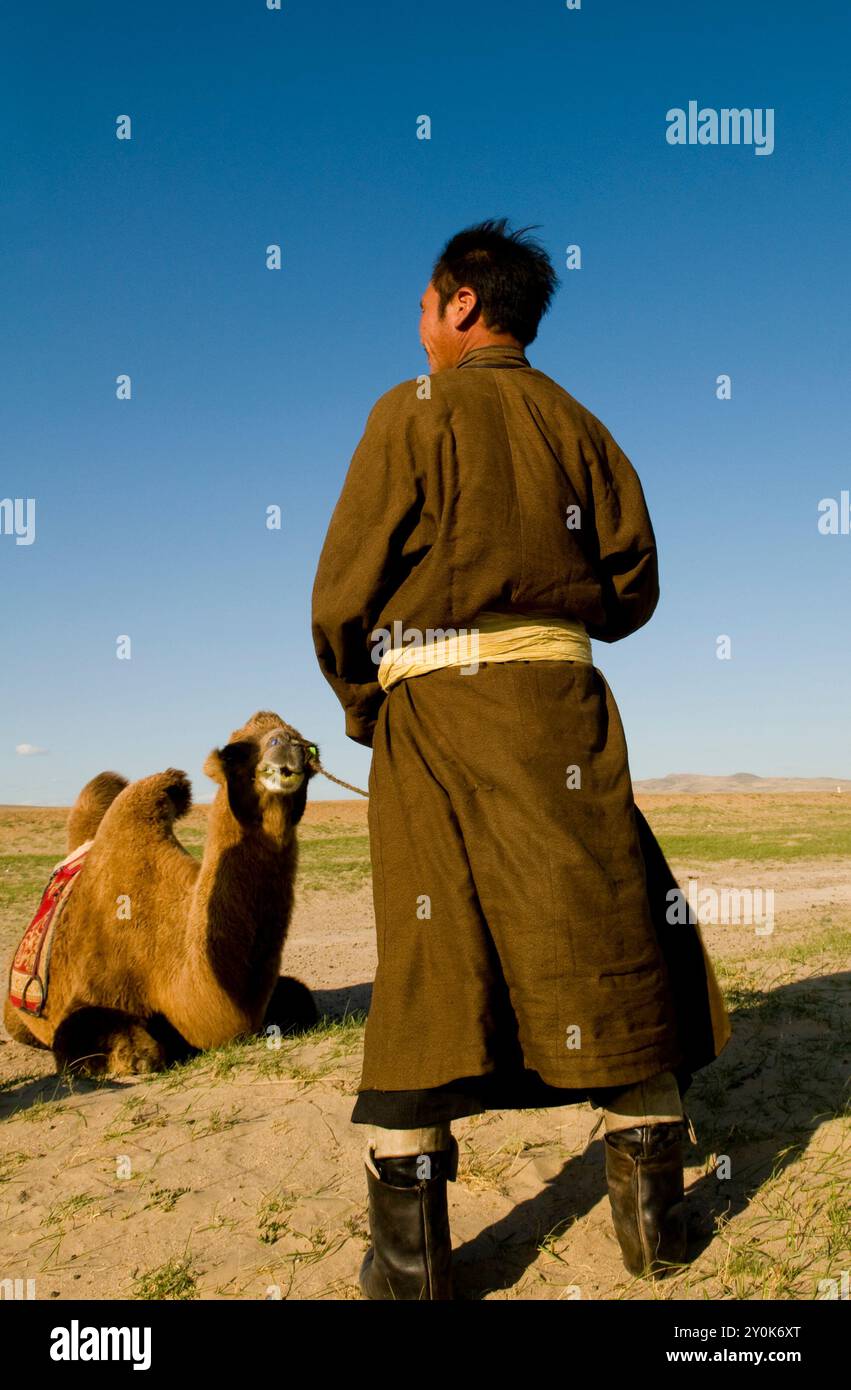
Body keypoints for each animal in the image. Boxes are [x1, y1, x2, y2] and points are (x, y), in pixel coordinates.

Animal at [3, 711, 320, 1076]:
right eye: (234, 752)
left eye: (309, 745)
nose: (287, 743)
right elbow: (109, 1042)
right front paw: (136, 1054)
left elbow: (301, 997)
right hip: (15, 1016)